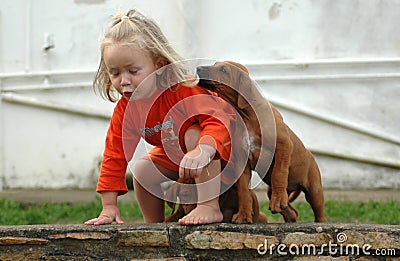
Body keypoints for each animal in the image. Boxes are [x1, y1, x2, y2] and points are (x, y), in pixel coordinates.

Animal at [195, 61, 326, 221]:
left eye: (223, 70)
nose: (198, 68)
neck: (247, 115)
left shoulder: (283, 145)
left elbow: (279, 173)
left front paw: (277, 199)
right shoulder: (242, 160)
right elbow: (244, 191)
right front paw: (243, 215)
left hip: (314, 189)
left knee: (319, 211)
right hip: (271, 191)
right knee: (292, 212)